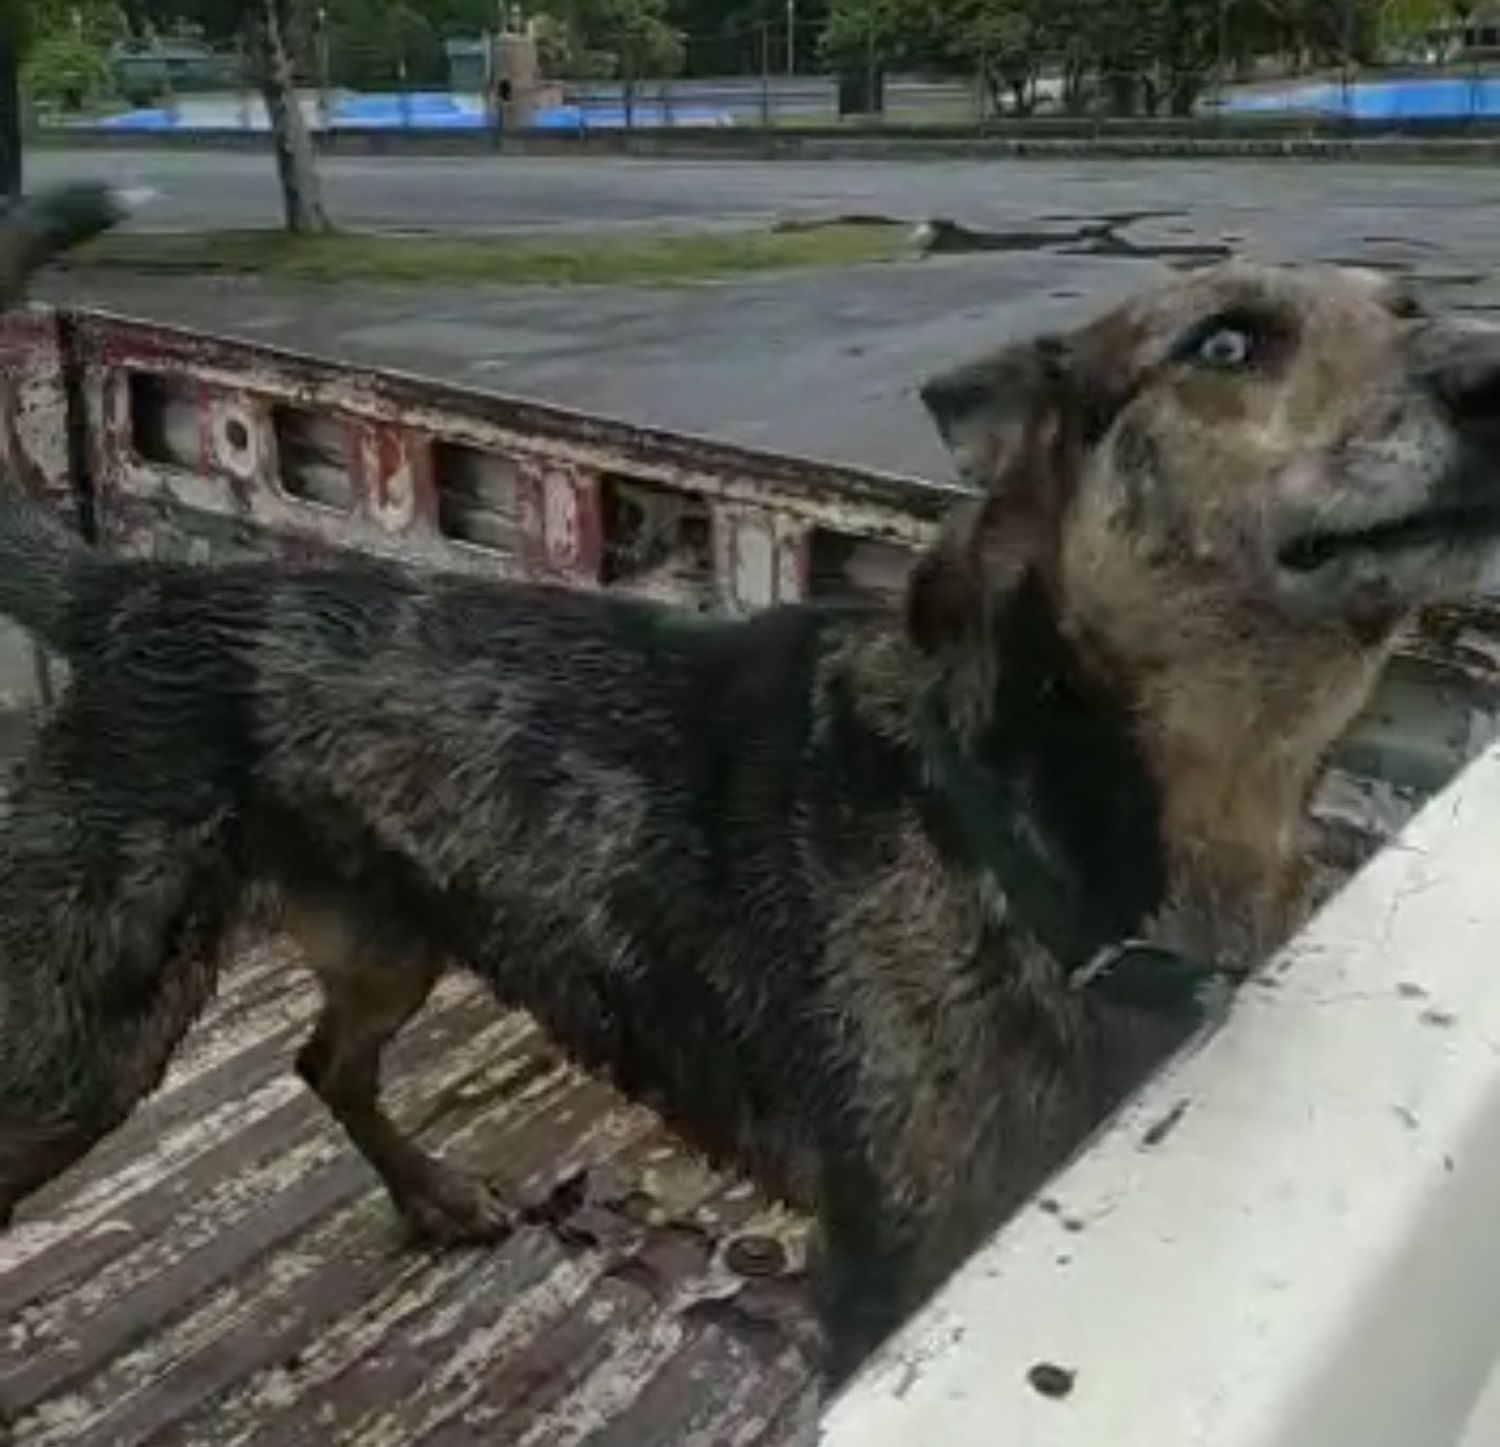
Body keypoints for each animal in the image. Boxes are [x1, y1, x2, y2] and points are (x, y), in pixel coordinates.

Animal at [2, 230, 1500, 1373]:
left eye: (1406, 308)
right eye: (1227, 345)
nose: (1490, 368)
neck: (1019, 818)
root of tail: (136, 588)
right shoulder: (889, 1277)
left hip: (390, 932)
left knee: (326, 1062)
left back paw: (431, 1193)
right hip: (80, 1032)